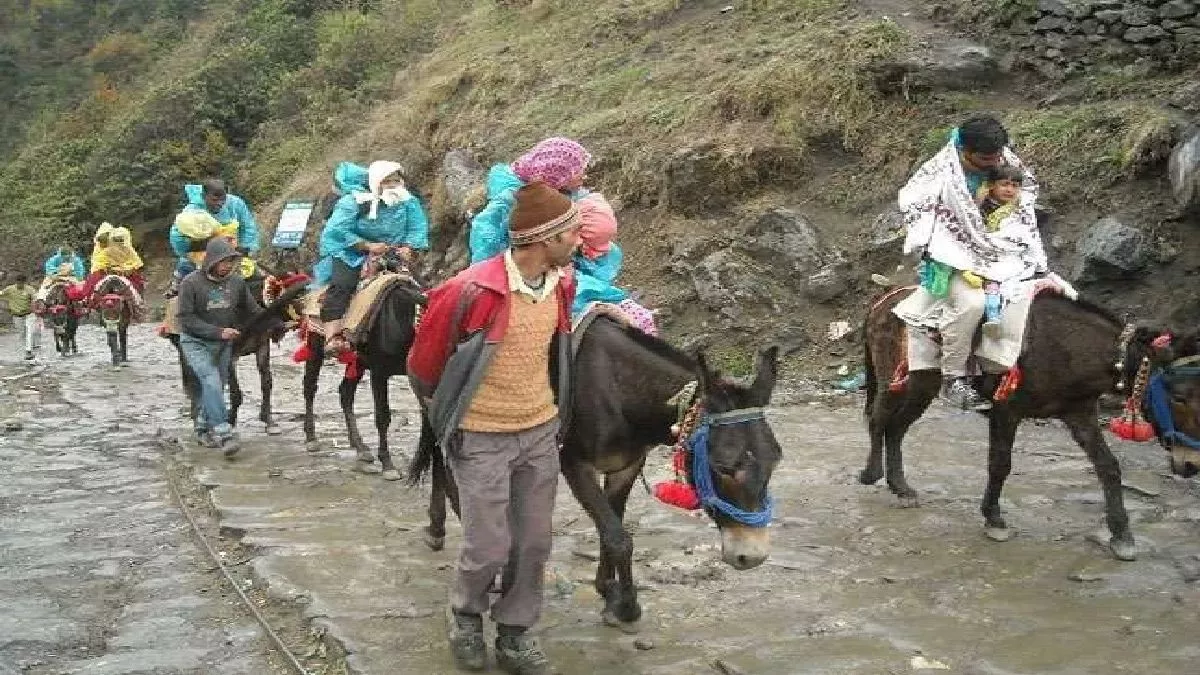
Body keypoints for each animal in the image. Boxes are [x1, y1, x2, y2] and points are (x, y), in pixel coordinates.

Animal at [408, 317, 782, 629]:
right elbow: (618, 537)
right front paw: (626, 606)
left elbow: (612, 529)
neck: (619, 389)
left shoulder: (626, 467)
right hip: (442, 409)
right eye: (722, 467)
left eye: (776, 460)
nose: (752, 557)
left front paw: (607, 590)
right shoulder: (574, 464)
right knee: (445, 466)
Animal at [864, 285, 1180, 559]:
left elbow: (1108, 466)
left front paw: (1122, 536)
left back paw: (901, 488)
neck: (1062, 346)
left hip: (922, 388)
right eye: (1177, 395)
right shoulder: (1005, 411)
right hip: (899, 381)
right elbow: (1000, 464)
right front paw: (994, 520)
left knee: (897, 427)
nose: (1184, 464)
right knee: (879, 420)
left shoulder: (1079, 414)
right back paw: (871, 474)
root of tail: (882, 303)